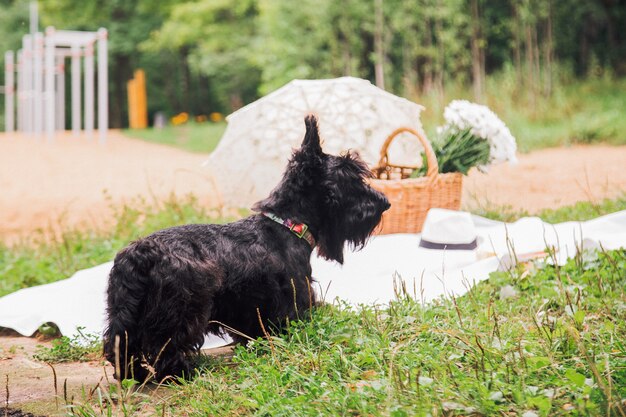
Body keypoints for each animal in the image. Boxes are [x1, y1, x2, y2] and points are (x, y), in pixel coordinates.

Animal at [103, 114, 390, 380]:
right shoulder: (294, 302)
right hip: (184, 307)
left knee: (119, 346)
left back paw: (134, 374)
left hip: (124, 311)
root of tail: (140, 254)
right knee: (166, 345)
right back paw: (182, 373)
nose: (384, 203)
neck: (287, 225)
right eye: (349, 177)